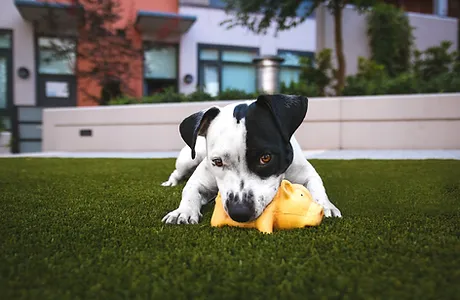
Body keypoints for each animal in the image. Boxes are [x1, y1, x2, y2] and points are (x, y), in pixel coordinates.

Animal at [162, 95, 342, 224]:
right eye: (217, 162)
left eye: (266, 158)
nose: (239, 212)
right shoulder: (199, 180)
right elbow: (189, 191)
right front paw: (182, 211)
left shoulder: (306, 173)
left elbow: (317, 186)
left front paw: (326, 205)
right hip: (188, 160)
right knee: (177, 172)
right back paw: (171, 183)